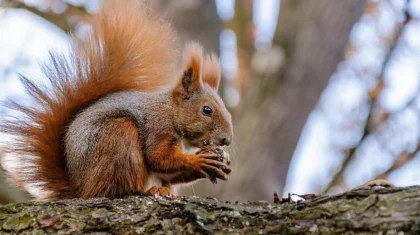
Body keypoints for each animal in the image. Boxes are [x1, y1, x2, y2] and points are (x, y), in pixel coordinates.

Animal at [0, 0, 233, 201]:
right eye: (207, 110)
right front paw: (199, 160)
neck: (171, 110)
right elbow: (158, 157)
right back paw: (143, 191)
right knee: (116, 189)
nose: (227, 140)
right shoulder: (158, 126)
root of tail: (81, 189)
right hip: (118, 137)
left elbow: (169, 172)